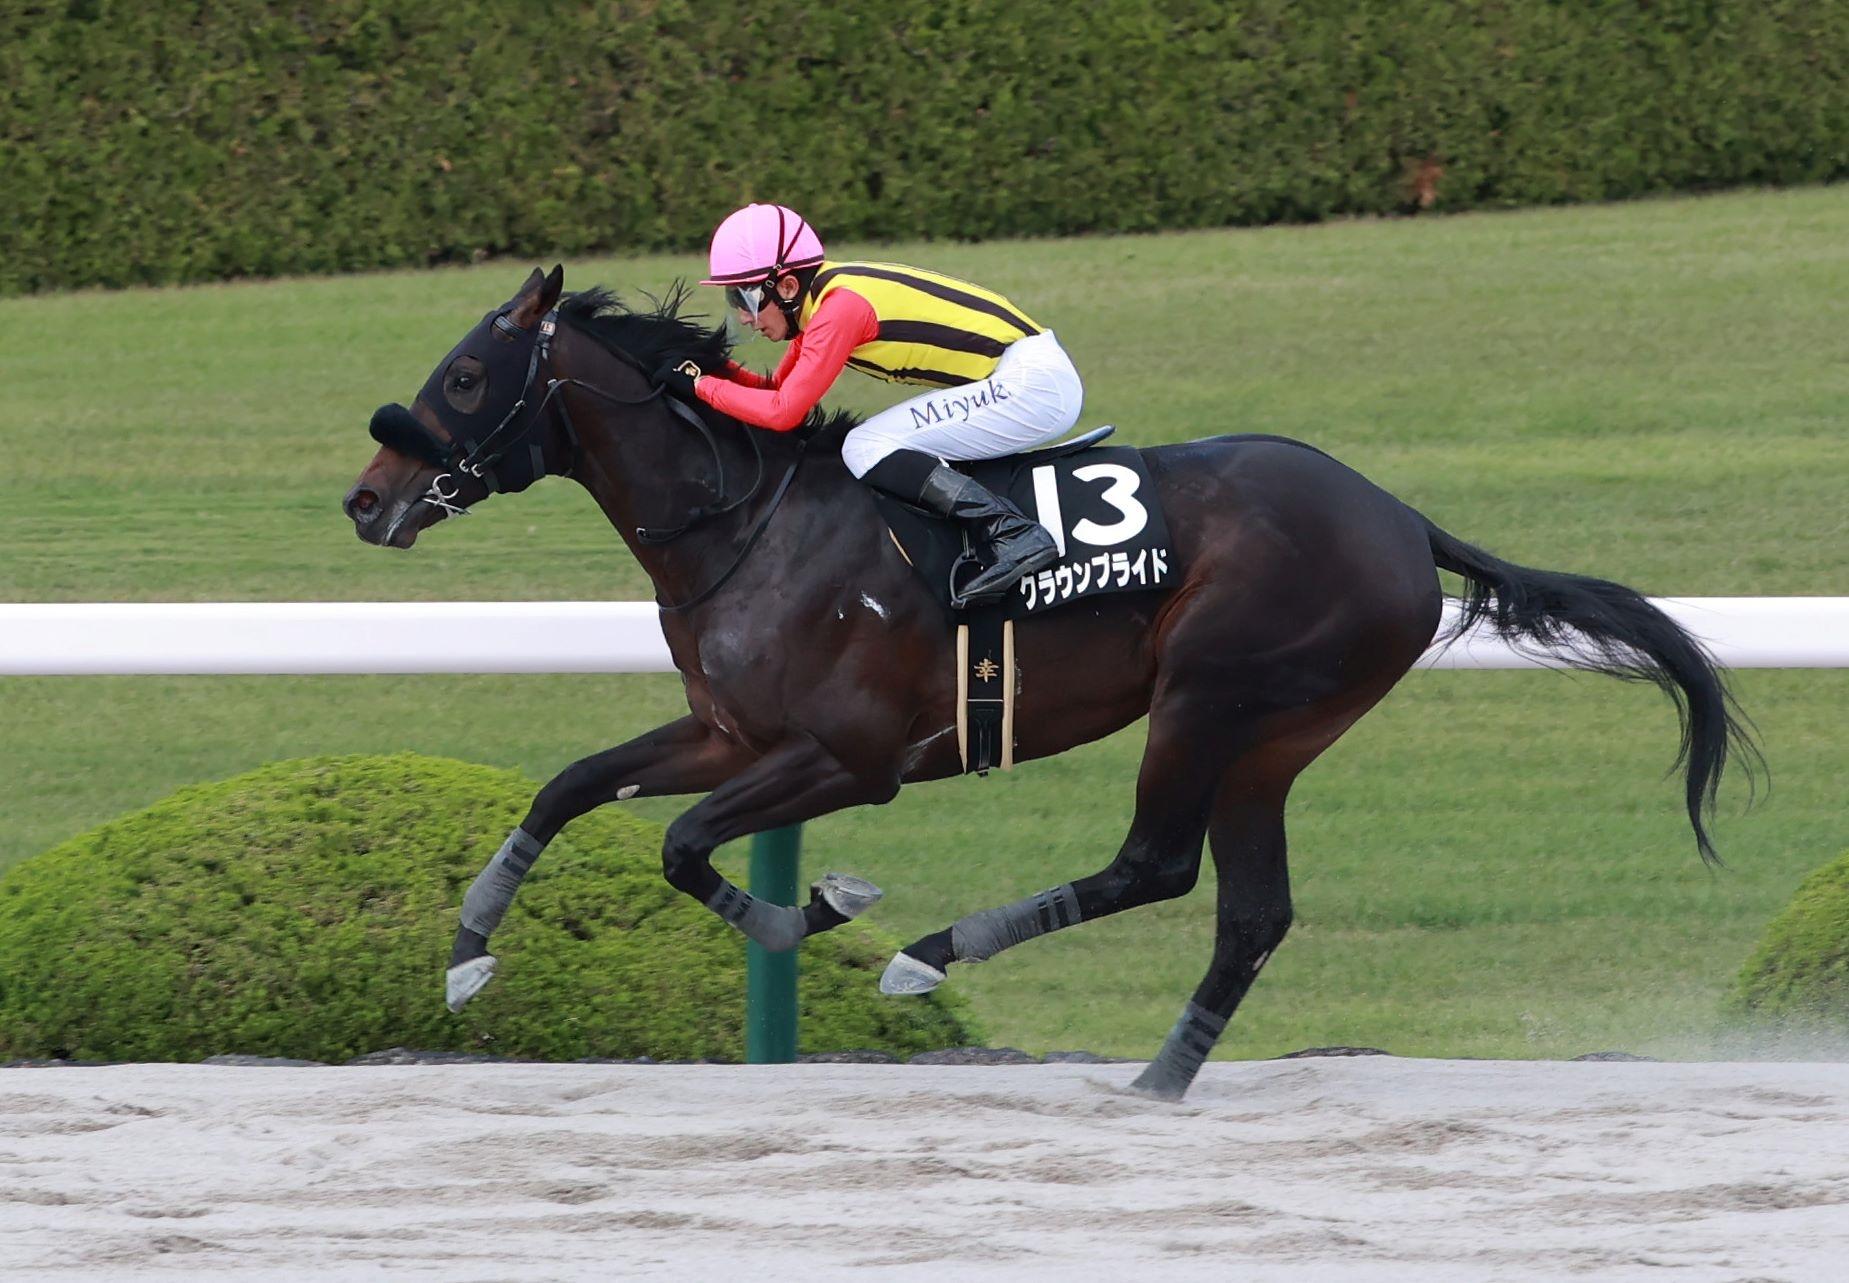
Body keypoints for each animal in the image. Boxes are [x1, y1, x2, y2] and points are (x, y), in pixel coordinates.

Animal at [343, 266, 1745, 1101]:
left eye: (463, 376)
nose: (365, 499)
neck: (750, 520)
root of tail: (1401, 518)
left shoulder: (852, 756)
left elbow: (685, 843)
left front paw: (829, 910)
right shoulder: (728, 729)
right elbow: (573, 788)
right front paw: (466, 955)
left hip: (1209, 697)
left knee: (1156, 866)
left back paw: (933, 958)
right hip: (1276, 734)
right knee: (1250, 910)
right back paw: (1159, 1079)